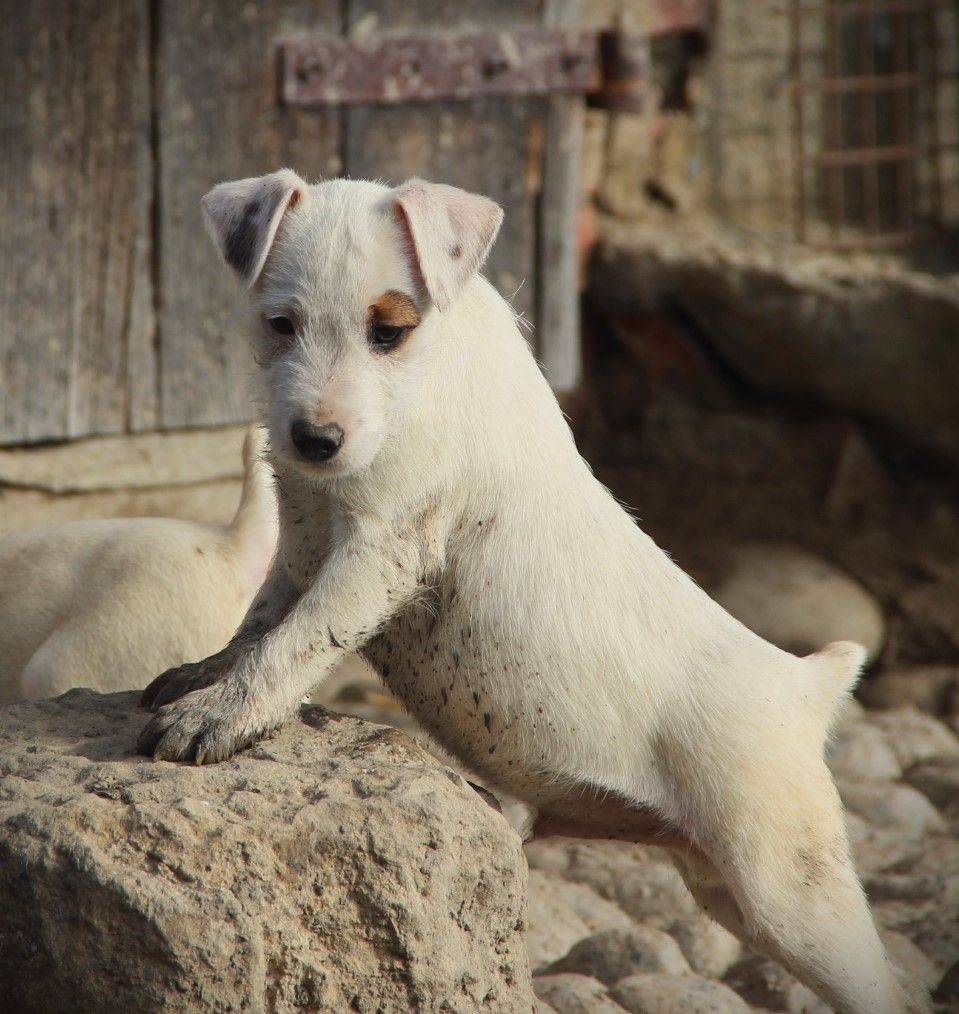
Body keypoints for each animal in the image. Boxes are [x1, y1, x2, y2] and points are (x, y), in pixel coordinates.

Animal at [137, 172, 924, 1014]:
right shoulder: (302, 545)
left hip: (790, 887)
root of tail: (807, 687)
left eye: (389, 332)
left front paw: (217, 717)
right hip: (725, 890)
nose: (314, 440)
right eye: (280, 324)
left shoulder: (380, 551)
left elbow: (295, 642)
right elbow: (259, 624)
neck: (427, 376)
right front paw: (203, 678)